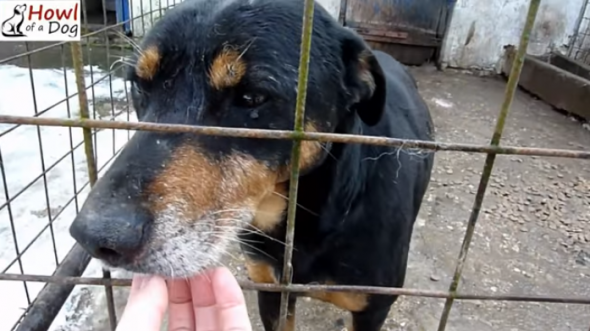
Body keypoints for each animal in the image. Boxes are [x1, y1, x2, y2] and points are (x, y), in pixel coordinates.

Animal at [70, 1, 434, 330]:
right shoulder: (271, 292)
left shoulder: (372, 309)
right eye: (138, 85)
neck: (308, 222)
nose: (93, 236)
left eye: (252, 98)